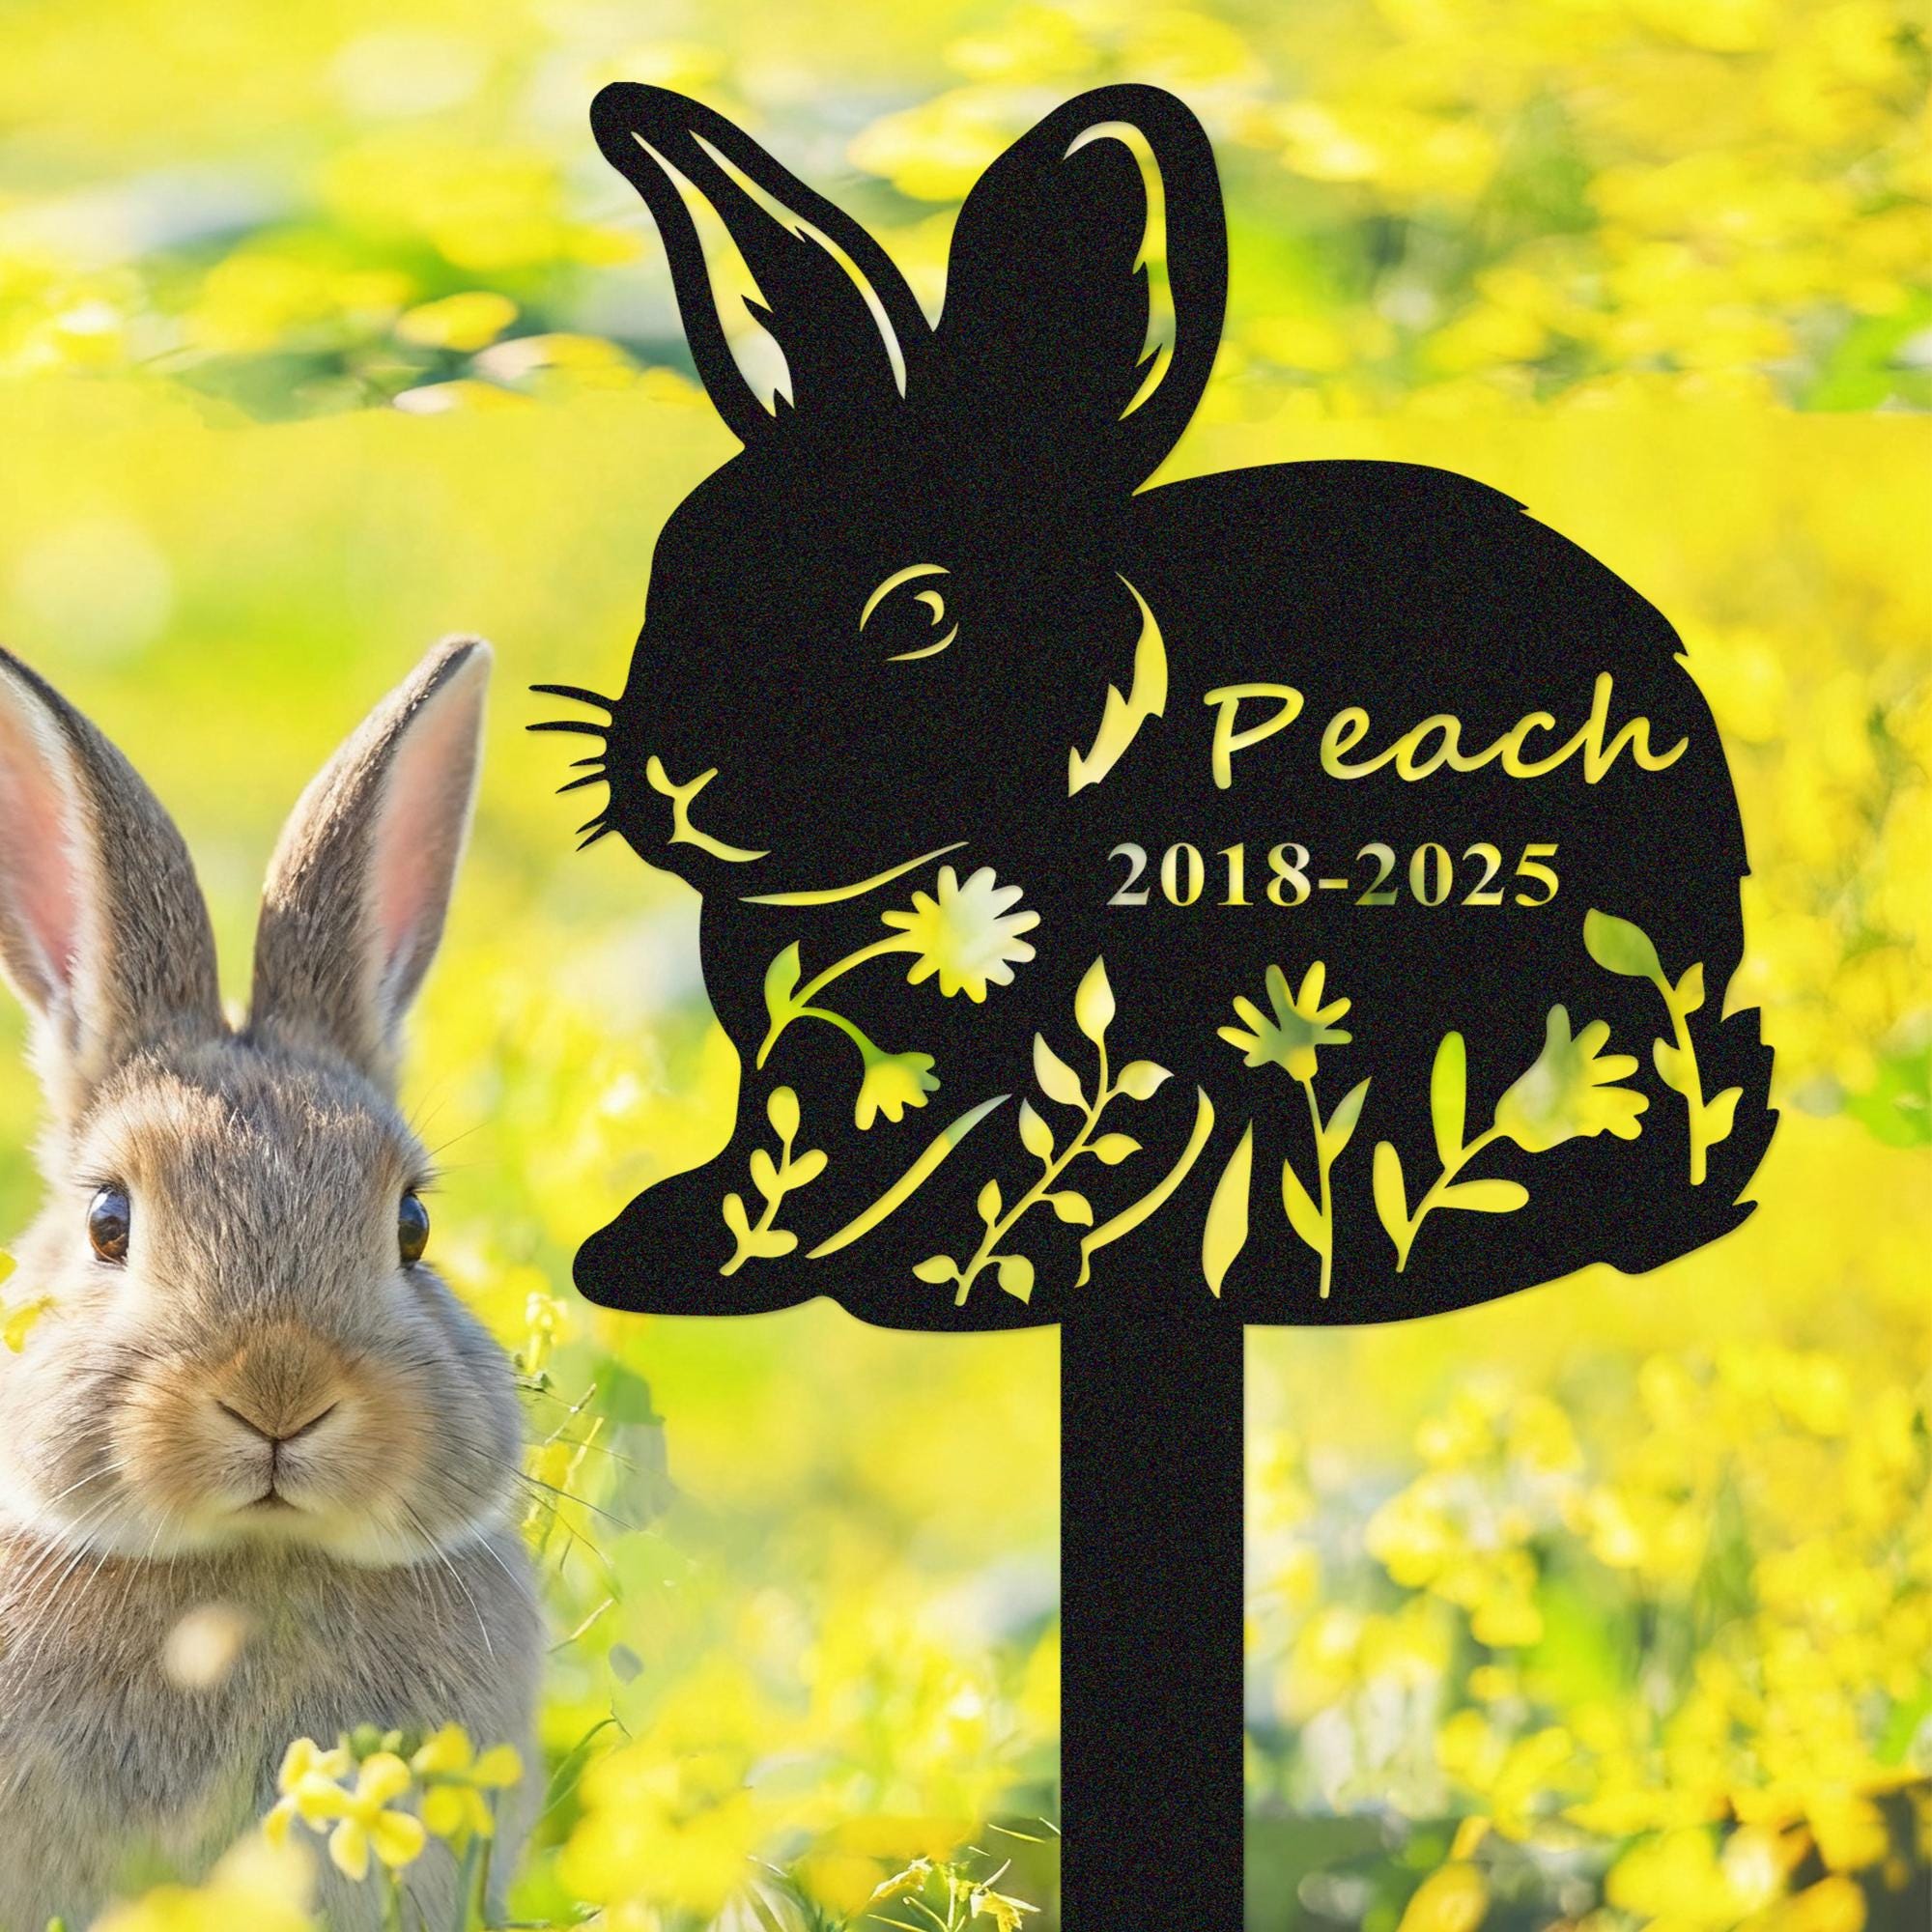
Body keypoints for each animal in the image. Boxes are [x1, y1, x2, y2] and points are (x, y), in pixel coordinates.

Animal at [537, 82, 1775, 1332]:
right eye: (677, 561)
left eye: (916, 613)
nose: (675, 783)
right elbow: (787, 1155)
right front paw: (672, 1251)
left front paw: (955, 1276)